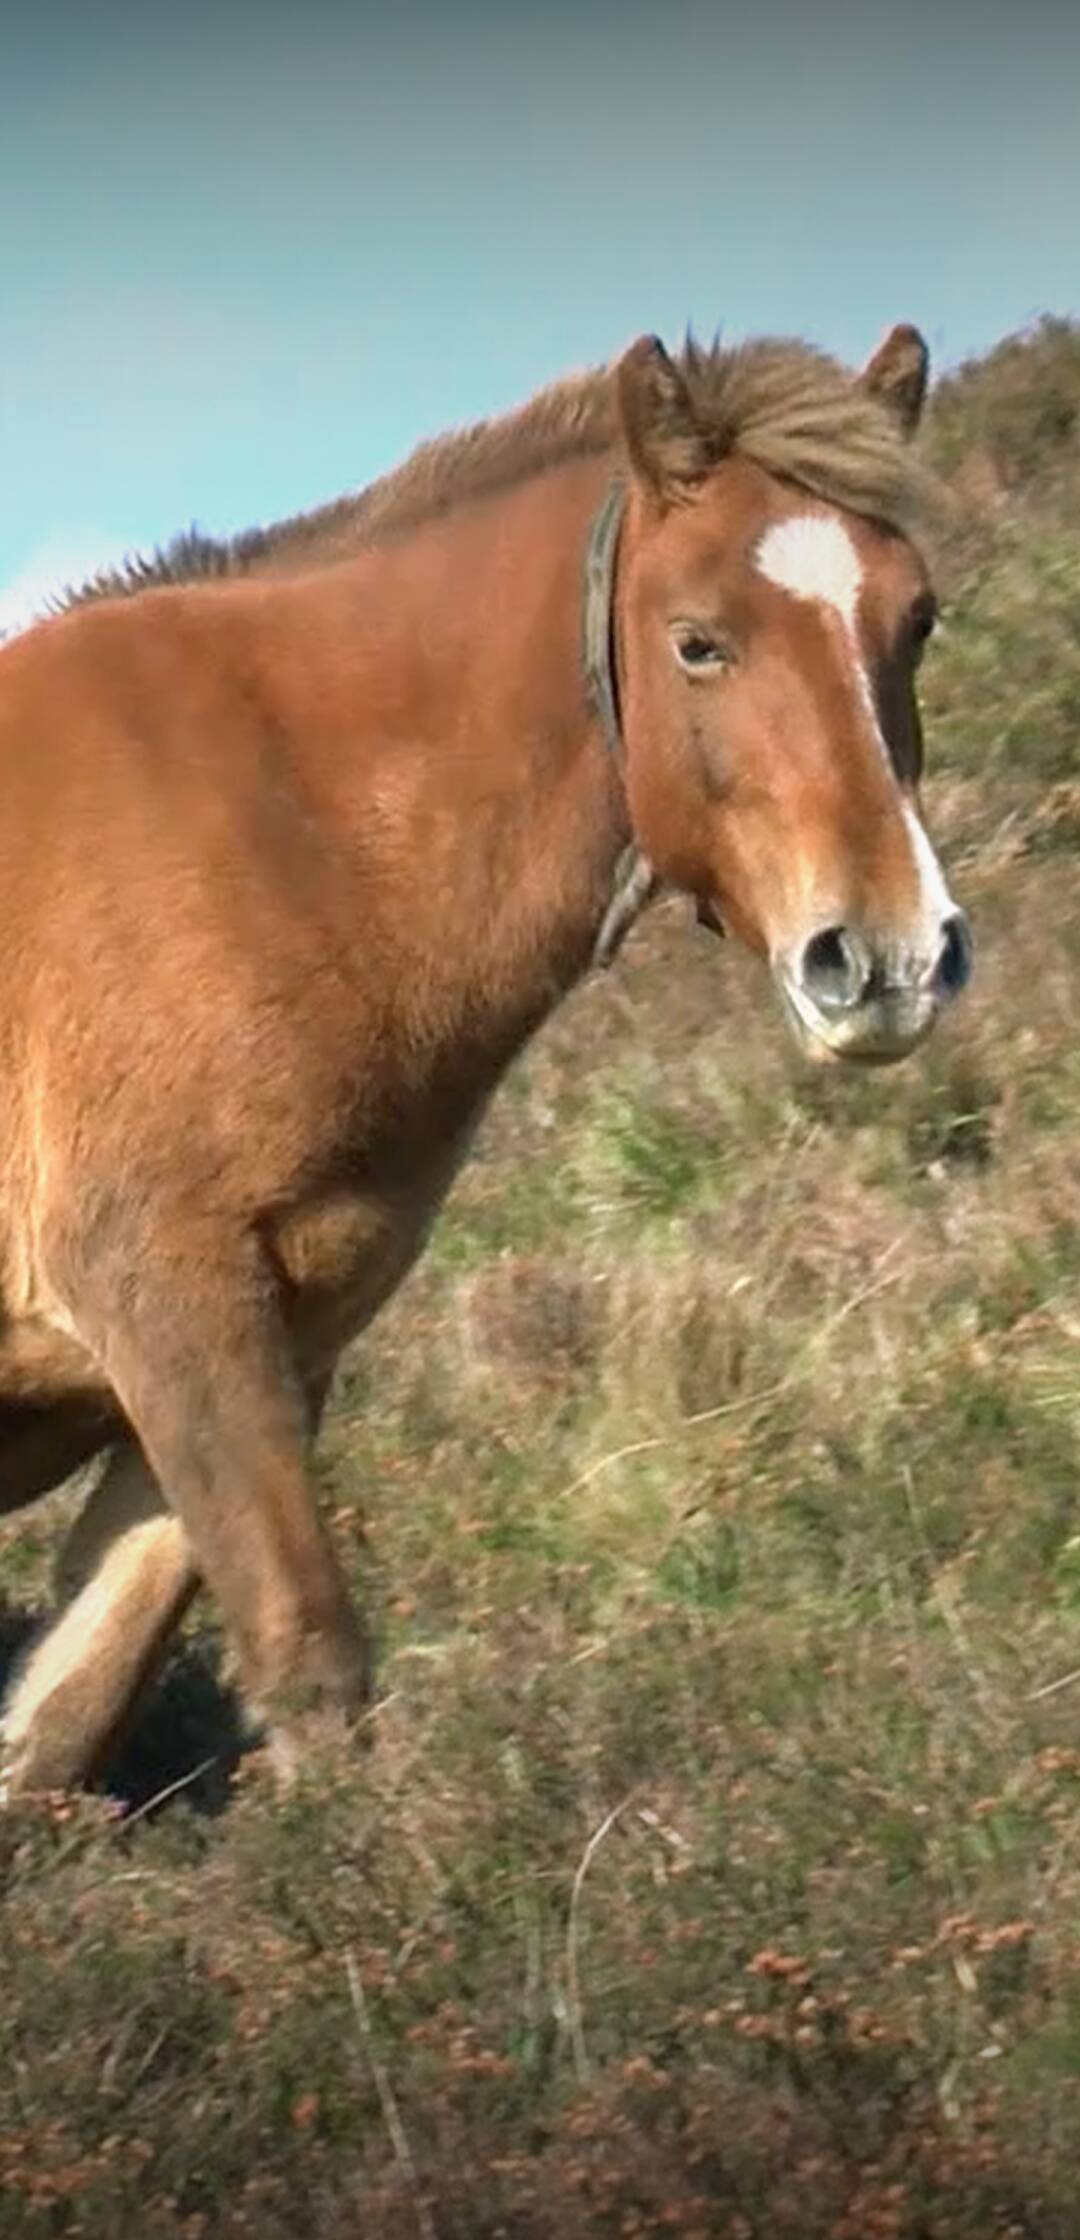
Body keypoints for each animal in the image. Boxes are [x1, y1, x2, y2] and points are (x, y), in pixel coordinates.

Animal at [0, 320, 972, 1800]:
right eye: (698, 642)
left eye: (914, 619)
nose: (890, 960)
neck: (287, 827)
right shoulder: (167, 1295)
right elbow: (307, 1655)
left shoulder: (272, 1333)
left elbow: (63, 1710)